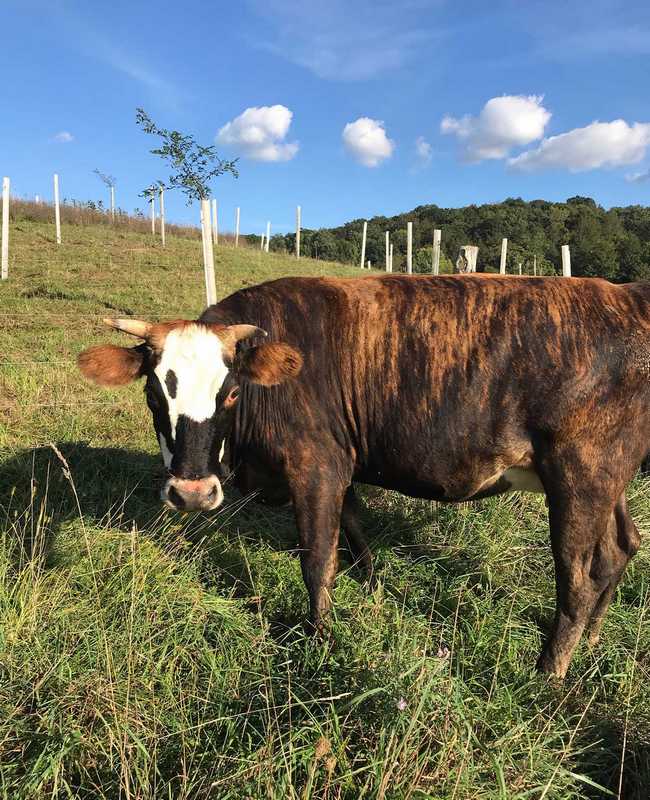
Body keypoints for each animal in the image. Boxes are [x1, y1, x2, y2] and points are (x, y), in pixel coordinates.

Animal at [77, 274, 648, 676]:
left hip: (581, 474)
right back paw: (593, 639)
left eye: (231, 391)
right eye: (154, 393)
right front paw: (372, 589)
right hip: (607, 479)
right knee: (622, 547)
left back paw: (548, 673)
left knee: (579, 576)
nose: (192, 492)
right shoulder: (341, 462)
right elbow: (353, 533)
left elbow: (318, 558)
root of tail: (626, 297)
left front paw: (320, 638)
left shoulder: (316, 465)